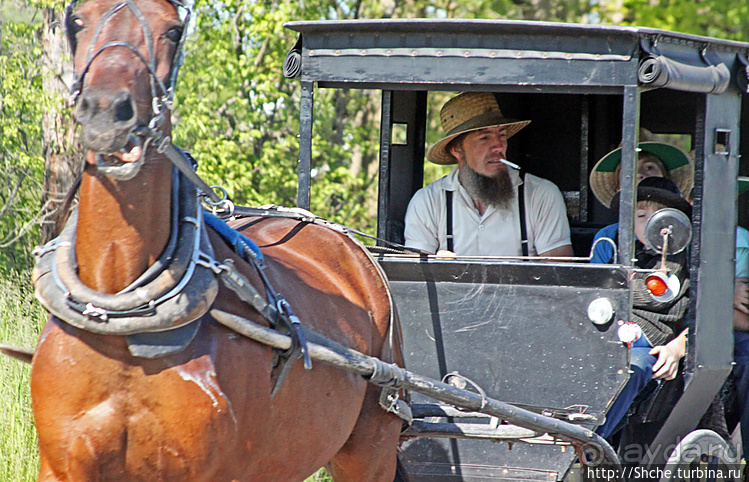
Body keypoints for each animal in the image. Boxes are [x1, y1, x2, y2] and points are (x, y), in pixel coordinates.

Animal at [29, 0, 406, 480]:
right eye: (77, 21)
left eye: (173, 31)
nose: (106, 112)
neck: (121, 318)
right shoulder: (62, 465)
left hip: (372, 446)